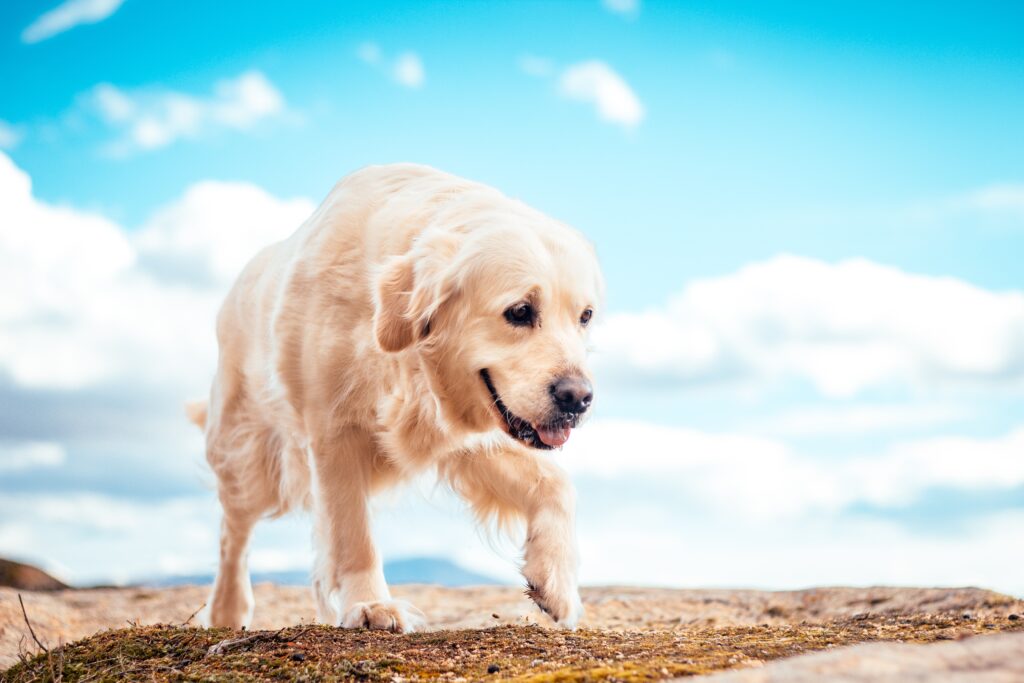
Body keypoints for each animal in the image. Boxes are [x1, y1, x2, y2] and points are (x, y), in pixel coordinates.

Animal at [188, 162, 602, 634]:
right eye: (519, 311)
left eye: (585, 316)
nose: (579, 398)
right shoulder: (333, 430)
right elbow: (352, 533)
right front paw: (369, 604)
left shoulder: (458, 436)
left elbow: (556, 484)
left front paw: (556, 582)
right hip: (248, 455)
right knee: (233, 532)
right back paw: (227, 611)